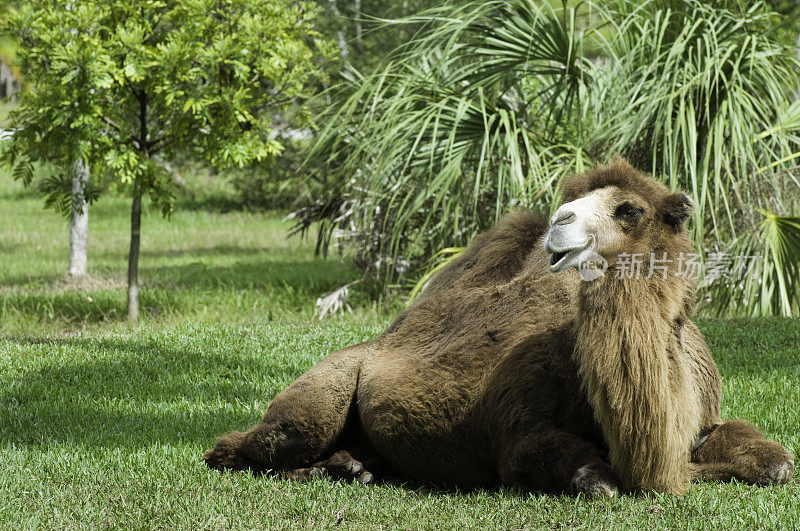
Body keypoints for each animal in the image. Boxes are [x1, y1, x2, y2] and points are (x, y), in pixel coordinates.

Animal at [203, 160, 792, 496]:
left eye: (629, 209)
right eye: (574, 201)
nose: (561, 219)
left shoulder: (704, 415)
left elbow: (775, 461)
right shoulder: (519, 430)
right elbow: (589, 478)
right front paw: (600, 478)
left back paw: (350, 468)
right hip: (321, 394)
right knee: (252, 445)